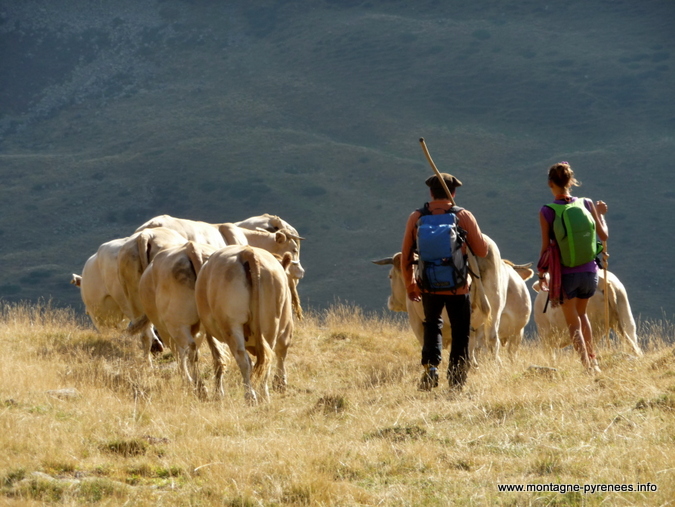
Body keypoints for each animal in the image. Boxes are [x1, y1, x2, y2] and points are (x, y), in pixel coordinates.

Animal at [193, 246, 294, 404]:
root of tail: (247, 251)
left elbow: (218, 359)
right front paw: (280, 384)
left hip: (232, 324)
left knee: (243, 359)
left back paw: (250, 396)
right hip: (271, 322)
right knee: (268, 357)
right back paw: (263, 395)